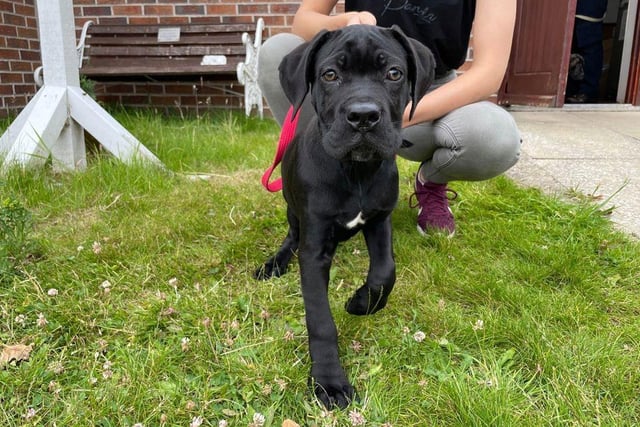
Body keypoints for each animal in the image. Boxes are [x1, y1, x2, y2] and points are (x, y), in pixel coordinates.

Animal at [255, 25, 436, 410]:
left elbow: (385, 272)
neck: (356, 171)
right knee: (291, 236)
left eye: (394, 73)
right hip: (294, 210)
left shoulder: (379, 220)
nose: (364, 116)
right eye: (329, 75)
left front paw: (361, 303)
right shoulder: (314, 248)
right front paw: (329, 381)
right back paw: (274, 264)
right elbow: (321, 320)